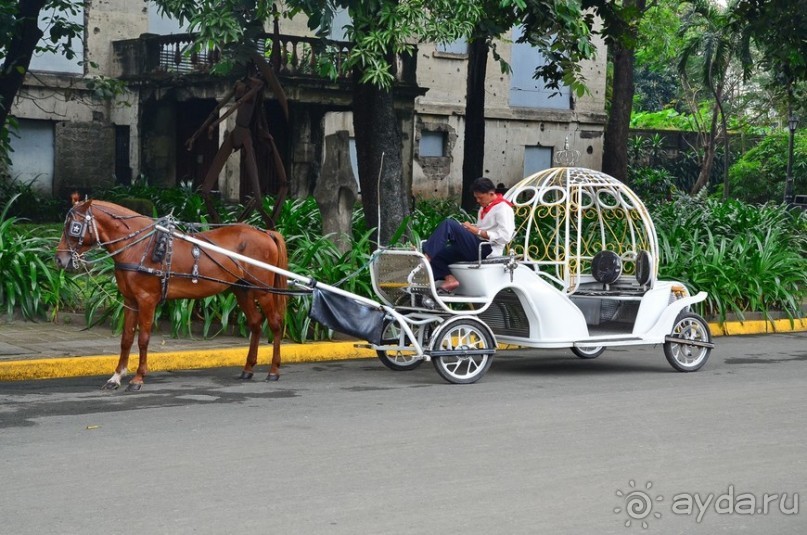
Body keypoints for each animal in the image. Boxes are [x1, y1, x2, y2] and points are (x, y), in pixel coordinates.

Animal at [54, 199, 288, 392]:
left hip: (263, 290)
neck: (139, 246)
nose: (59, 259)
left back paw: (274, 371)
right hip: (242, 289)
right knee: (256, 323)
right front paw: (116, 377)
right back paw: (248, 368)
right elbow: (126, 339)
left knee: (275, 323)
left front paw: (138, 378)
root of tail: (266, 233)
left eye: (74, 227)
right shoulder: (130, 301)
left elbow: (143, 339)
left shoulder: (147, 300)